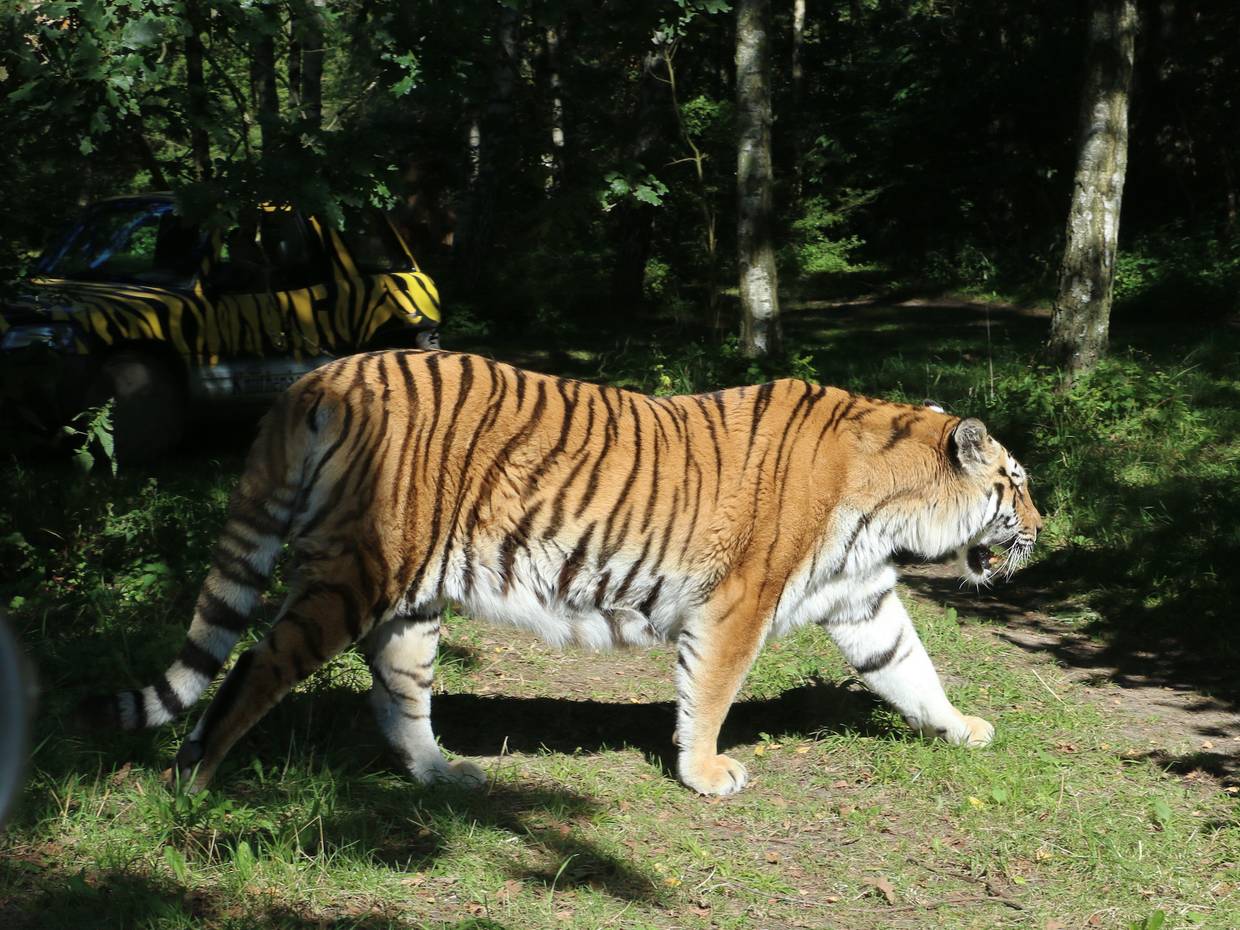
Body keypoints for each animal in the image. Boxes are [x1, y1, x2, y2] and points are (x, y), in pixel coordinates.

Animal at [81, 349, 1042, 797]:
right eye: (1018, 483)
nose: (1040, 531)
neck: (890, 506)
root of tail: (319, 375)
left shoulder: (862, 600)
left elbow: (911, 669)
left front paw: (963, 729)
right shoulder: (737, 605)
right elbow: (711, 693)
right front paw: (706, 774)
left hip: (412, 599)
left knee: (397, 694)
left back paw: (446, 776)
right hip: (352, 575)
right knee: (253, 668)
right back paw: (193, 786)